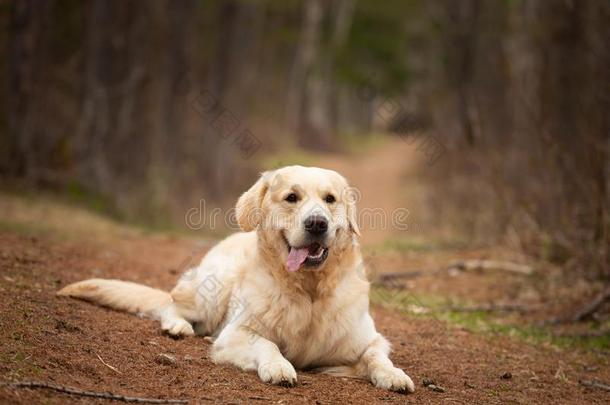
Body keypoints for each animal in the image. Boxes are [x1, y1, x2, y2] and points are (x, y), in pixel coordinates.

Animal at [58, 164, 414, 392]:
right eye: (291, 197)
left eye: (330, 199)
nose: (317, 223)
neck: (310, 290)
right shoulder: (235, 334)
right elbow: (267, 343)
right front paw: (278, 366)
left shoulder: (368, 340)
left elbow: (376, 356)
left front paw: (394, 375)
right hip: (213, 291)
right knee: (172, 303)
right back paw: (177, 326)